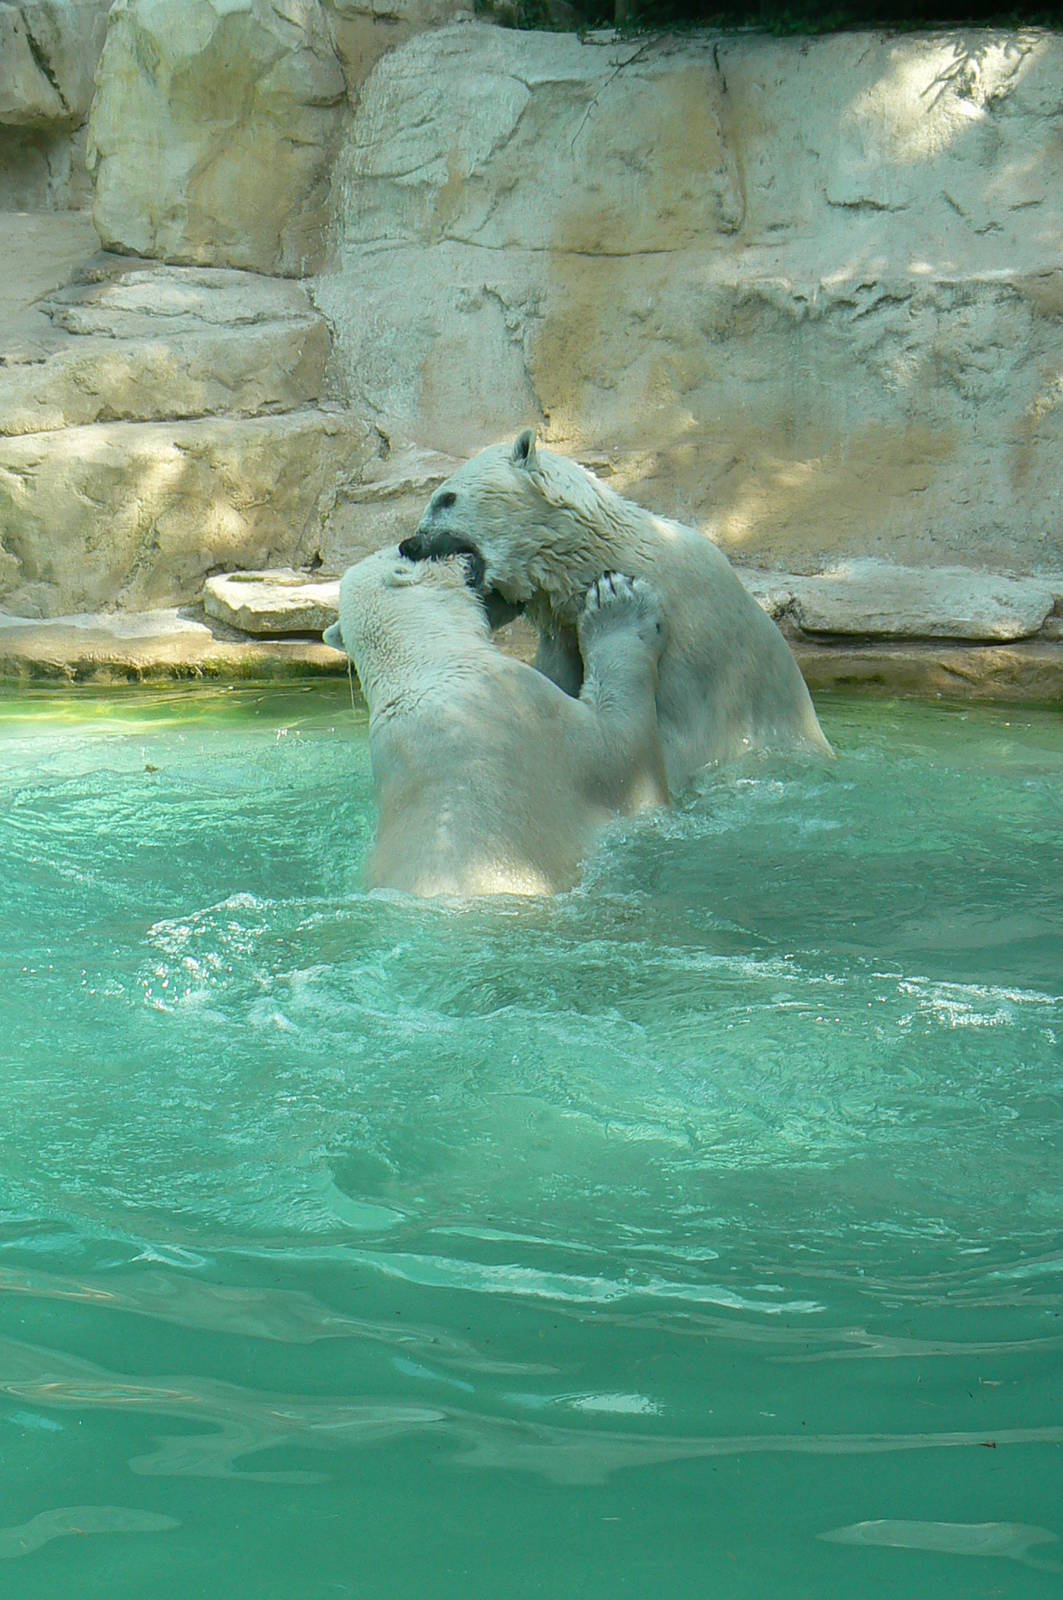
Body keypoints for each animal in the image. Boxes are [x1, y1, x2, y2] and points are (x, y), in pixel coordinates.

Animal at [323, 546, 669, 898]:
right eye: (406, 548)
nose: (468, 552)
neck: (421, 664)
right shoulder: (526, 707)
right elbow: (623, 746)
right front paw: (618, 601)